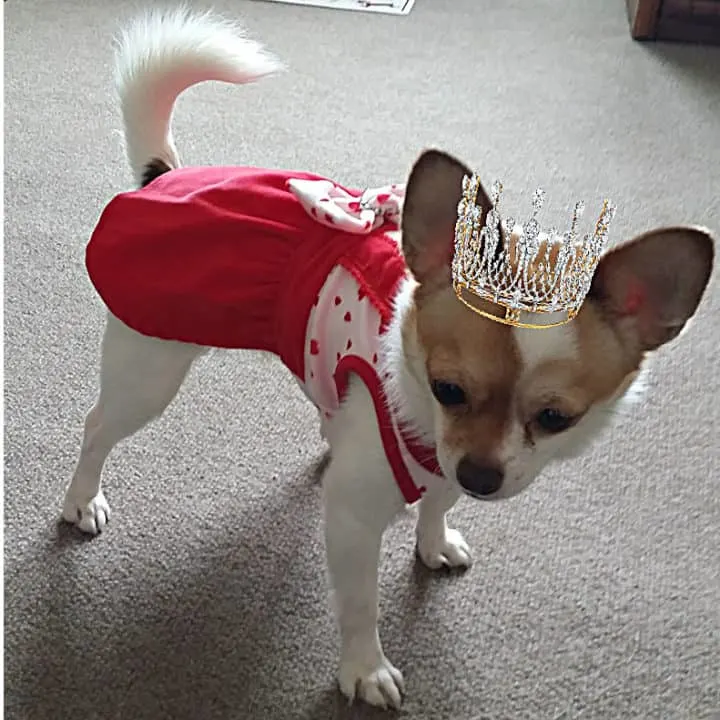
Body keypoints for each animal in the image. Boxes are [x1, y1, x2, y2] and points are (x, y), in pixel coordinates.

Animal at [66, 8, 716, 712]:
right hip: (149, 368)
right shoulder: (354, 522)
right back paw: (82, 500)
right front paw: (364, 668)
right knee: (98, 427)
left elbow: (437, 504)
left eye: (556, 419)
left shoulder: (445, 468)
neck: (423, 428)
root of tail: (163, 175)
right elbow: (360, 605)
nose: (482, 477)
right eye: (447, 389)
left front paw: (433, 540)